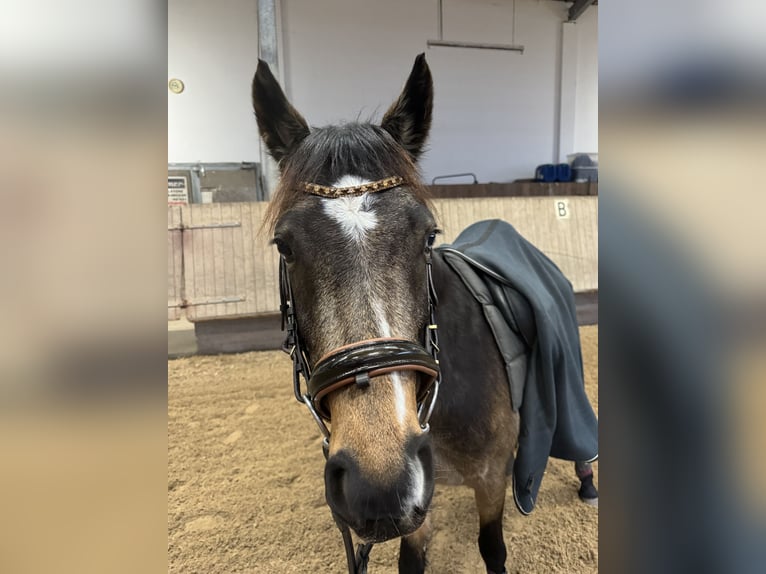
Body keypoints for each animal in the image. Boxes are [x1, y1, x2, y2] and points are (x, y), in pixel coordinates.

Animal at [255, 54, 596, 574]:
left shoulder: (492, 480)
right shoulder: (416, 504)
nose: (378, 486)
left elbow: (492, 549)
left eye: (428, 236)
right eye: (285, 246)